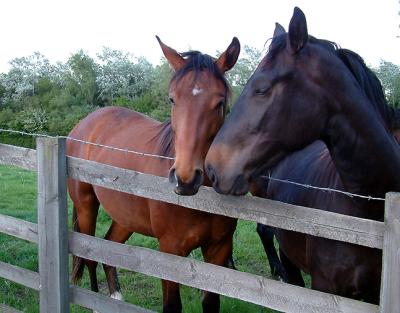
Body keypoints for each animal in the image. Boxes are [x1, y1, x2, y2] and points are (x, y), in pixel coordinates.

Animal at [67, 35, 239, 310]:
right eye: (172, 99)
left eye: (220, 102)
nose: (185, 179)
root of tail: (83, 124)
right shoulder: (170, 251)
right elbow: (172, 305)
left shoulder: (219, 249)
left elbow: (211, 303)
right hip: (86, 206)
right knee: (90, 255)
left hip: (125, 216)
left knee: (110, 246)